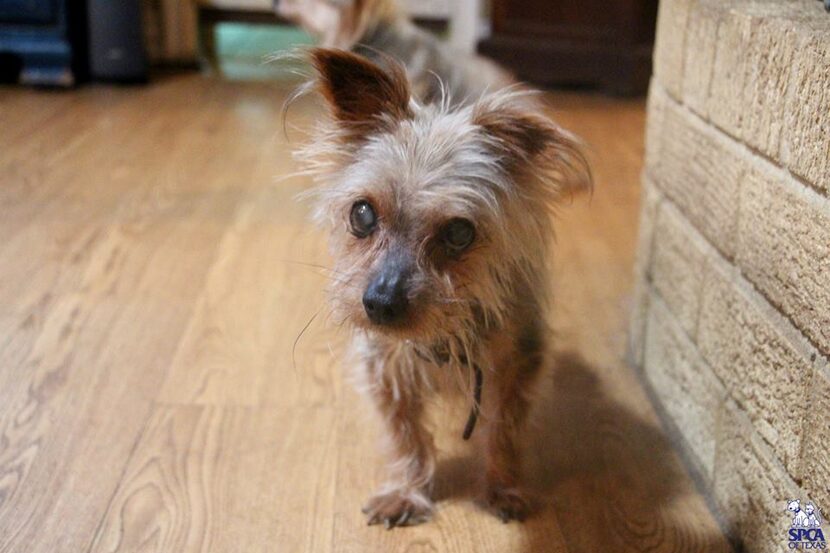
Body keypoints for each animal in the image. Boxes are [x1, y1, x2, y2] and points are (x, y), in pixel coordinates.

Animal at [292, 47, 592, 528]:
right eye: (362, 214)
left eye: (458, 233)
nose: (380, 303)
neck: (443, 331)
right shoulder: (385, 369)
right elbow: (405, 434)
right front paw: (406, 491)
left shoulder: (520, 362)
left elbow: (504, 428)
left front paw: (502, 488)